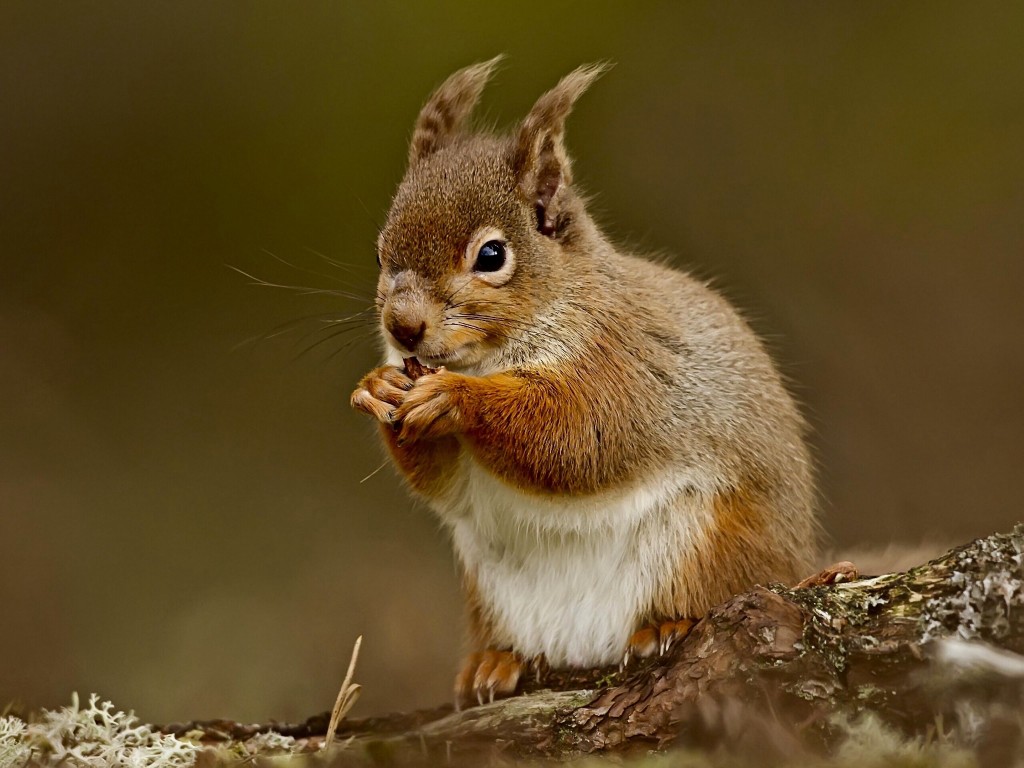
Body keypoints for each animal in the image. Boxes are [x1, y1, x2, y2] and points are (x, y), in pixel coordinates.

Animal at [351, 58, 819, 709]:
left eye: (491, 255)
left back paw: (667, 625)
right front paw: (376, 387)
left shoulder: (621, 364)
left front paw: (456, 399)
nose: (403, 327)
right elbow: (444, 483)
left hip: (709, 544)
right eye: (378, 254)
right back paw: (495, 662)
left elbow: (576, 437)